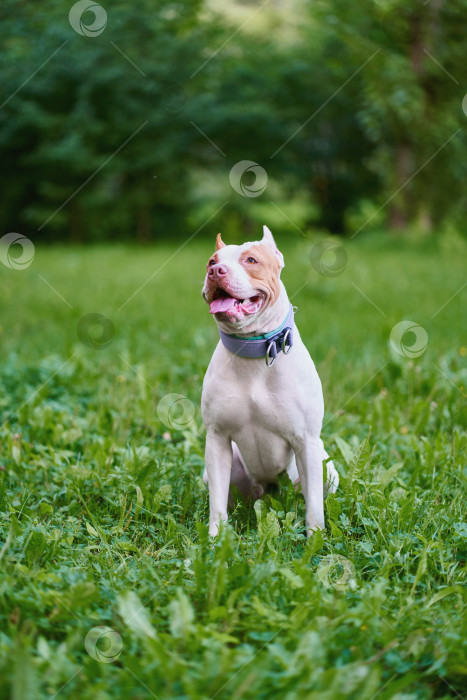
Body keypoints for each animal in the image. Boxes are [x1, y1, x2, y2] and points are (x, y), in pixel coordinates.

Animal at [199, 226, 338, 536]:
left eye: (251, 260)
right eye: (211, 261)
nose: (215, 271)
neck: (253, 352)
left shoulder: (306, 442)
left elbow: (314, 506)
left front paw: (315, 540)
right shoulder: (217, 439)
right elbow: (216, 504)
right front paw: (214, 539)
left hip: (324, 466)